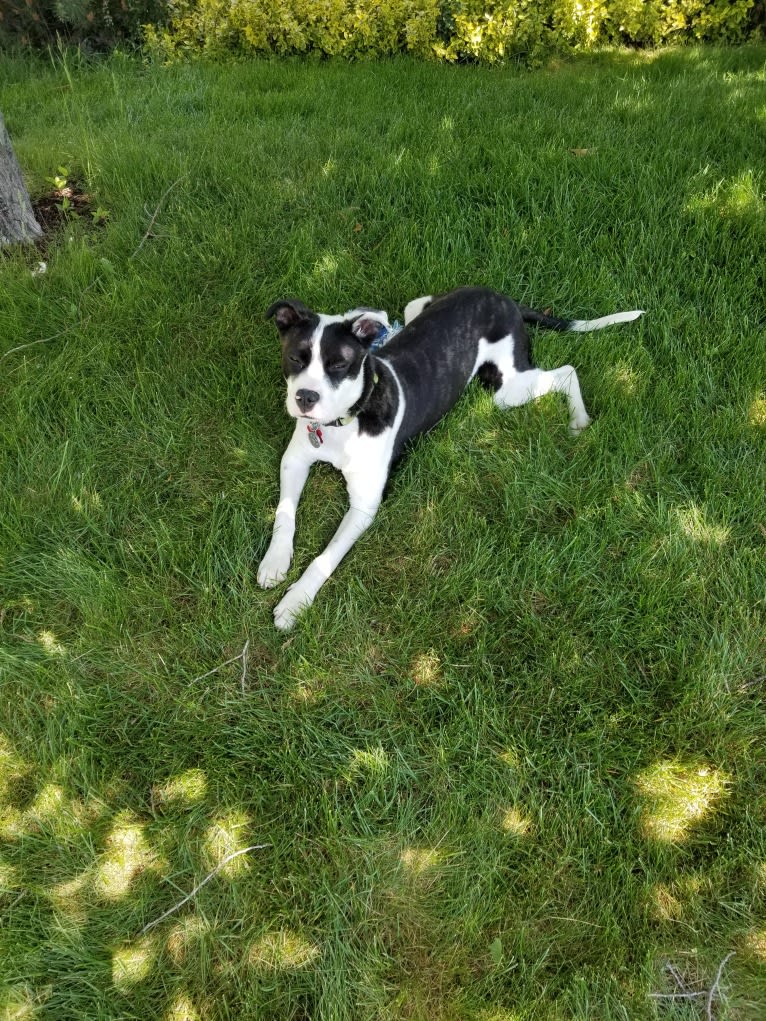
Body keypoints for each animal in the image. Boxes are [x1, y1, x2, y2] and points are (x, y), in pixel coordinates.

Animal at [258, 287, 641, 628]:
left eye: (339, 365)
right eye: (295, 358)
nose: (305, 398)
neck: (346, 420)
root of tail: (501, 297)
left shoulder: (364, 505)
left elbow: (326, 557)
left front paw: (296, 601)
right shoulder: (294, 460)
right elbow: (285, 513)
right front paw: (275, 560)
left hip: (507, 389)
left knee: (566, 372)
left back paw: (579, 419)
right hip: (417, 308)